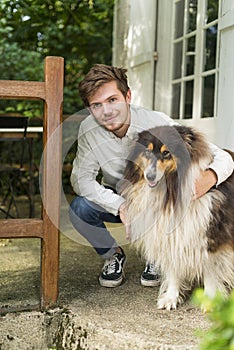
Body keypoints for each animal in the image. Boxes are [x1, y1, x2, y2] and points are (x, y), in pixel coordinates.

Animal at [120, 125, 234, 308]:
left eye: (166, 152)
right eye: (147, 151)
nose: (149, 176)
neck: (170, 192)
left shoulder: (211, 237)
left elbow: (210, 270)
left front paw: (210, 302)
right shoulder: (171, 236)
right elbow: (174, 269)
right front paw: (171, 298)